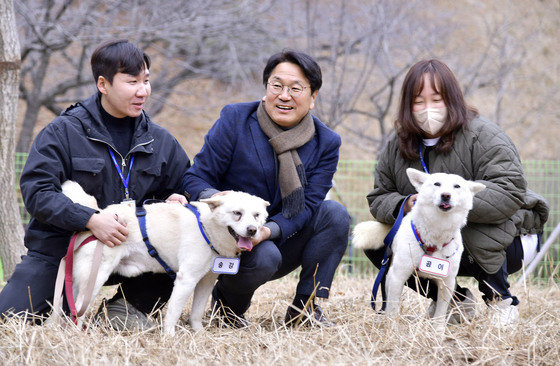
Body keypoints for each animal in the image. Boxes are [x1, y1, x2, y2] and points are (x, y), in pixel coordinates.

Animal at [54, 180, 270, 334]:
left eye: (257, 215)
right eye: (237, 213)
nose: (252, 230)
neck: (206, 228)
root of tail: (98, 214)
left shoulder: (206, 281)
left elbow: (197, 313)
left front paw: (199, 334)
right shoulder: (186, 280)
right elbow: (173, 314)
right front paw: (170, 337)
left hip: (81, 280)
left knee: (69, 307)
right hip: (95, 278)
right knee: (78, 310)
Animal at [352, 169, 484, 326]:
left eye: (457, 186)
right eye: (437, 184)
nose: (446, 195)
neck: (437, 232)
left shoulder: (447, 281)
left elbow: (441, 312)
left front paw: (438, 329)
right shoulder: (398, 275)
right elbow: (393, 308)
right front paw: (392, 327)